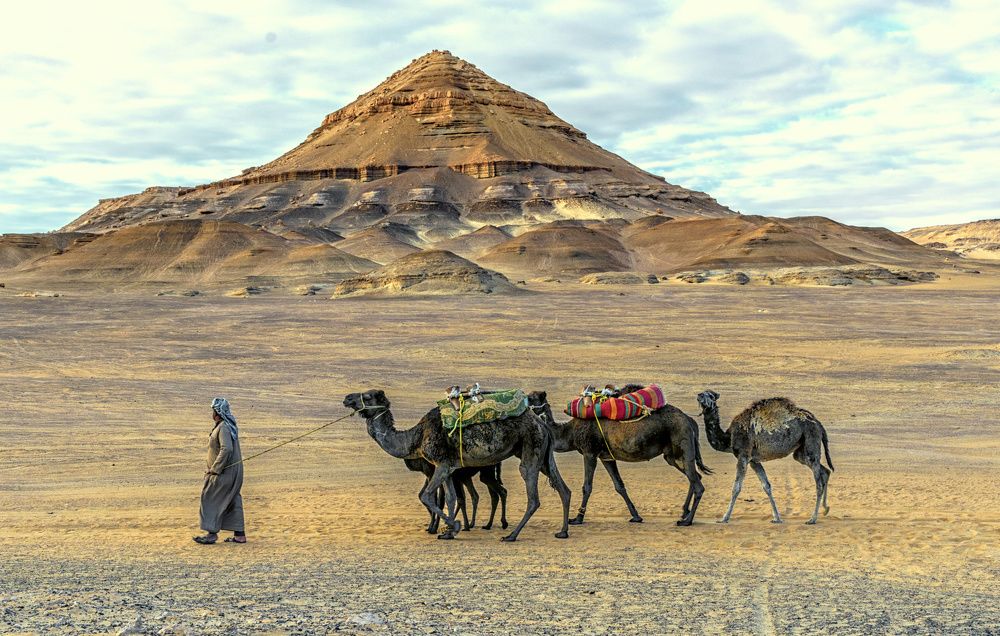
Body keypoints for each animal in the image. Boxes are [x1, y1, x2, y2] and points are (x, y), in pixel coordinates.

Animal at [343, 389, 571, 541]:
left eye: (368, 396)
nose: (347, 398)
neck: (416, 437)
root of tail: (541, 423)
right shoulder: (449, 466)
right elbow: (451, 497)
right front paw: (448, 532)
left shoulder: (441, 464)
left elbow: (427, 496)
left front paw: (455, 526)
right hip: (542, 454)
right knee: (563, 488)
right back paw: (563, 531)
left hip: (531, 446)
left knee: (532, 495)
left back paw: (511, 535)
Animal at [526, 387, 709, 526]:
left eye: (530, 398)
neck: (569, 432)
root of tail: (690, 420)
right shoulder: (606, 456)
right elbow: (619, 485)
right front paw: (636, 516)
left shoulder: (589, 452)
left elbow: (587, 486)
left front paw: (577, 518)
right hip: (672, 455)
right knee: (695, 477)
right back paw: (684, 513)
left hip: (683, 443)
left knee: (698, 484)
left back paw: (687, 521)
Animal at [696, 390, 833, 524]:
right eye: (703, 392)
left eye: (711, 395)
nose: (699, 396)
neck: (729, 438)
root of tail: (818, 424)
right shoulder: (753, 460)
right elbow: (766, 485)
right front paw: (777, 518)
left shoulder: (743, 455)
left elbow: (736, 487)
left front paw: (724, 518)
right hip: (800, 451)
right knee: (824, 470)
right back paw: (826, 509)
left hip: (811, 438)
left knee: (818, 482)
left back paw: (812, 519)